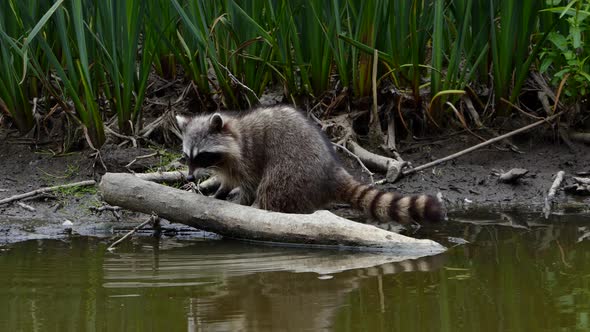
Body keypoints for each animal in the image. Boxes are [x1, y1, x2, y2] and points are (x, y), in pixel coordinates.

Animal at [176, 105, 444, 224]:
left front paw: (240, 201)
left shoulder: (249, 155)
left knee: (274, 188)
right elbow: (229, 180)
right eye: (187, 157)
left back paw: (262, 207)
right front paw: (219, 191)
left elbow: (250, 183)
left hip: (296, 169)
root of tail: (331, 170)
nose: (188, 178)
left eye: (202, 156)